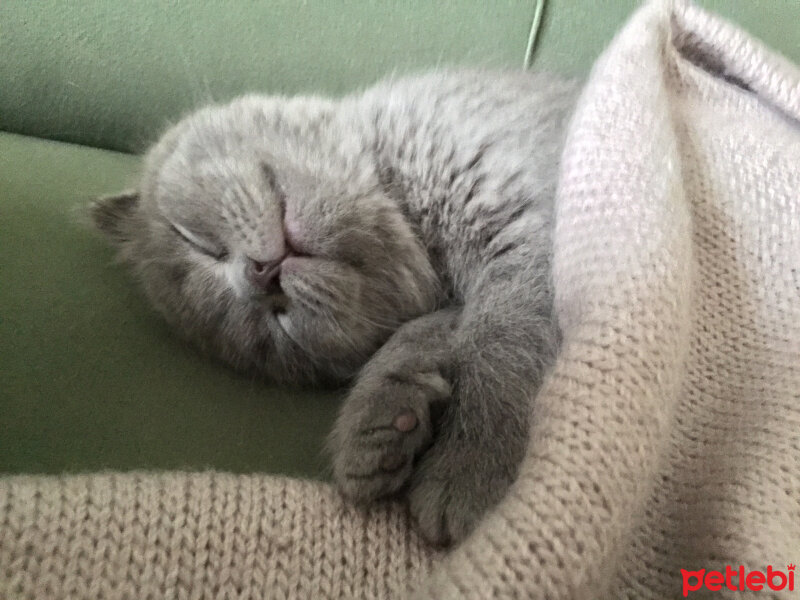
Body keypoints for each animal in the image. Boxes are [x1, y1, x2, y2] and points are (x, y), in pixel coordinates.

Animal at [92, 69, 576, 544]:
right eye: (272, 330)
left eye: (194, 241)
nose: (260, 278)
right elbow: (424, 334)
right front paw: (379, 428)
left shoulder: (524, 230)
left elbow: (503, 348)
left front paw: (468, 471)